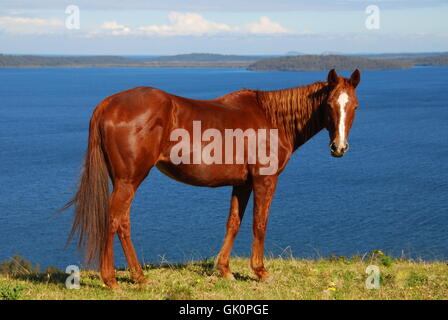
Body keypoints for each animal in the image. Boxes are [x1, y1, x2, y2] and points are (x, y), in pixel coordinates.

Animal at [65, 68, 360, 288]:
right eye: (330, 104)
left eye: (355, 106)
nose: (339, 148)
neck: (272, 120)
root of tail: (107, 104)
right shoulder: (265, 180)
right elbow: (259, 224)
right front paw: (261, 272)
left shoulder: (242, 184)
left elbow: (234, 223)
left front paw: (225, 270)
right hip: (129, 180)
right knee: (115, 220)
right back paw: (114, 279)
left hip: (123, 180)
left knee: (120, 221)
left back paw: (133, 277)